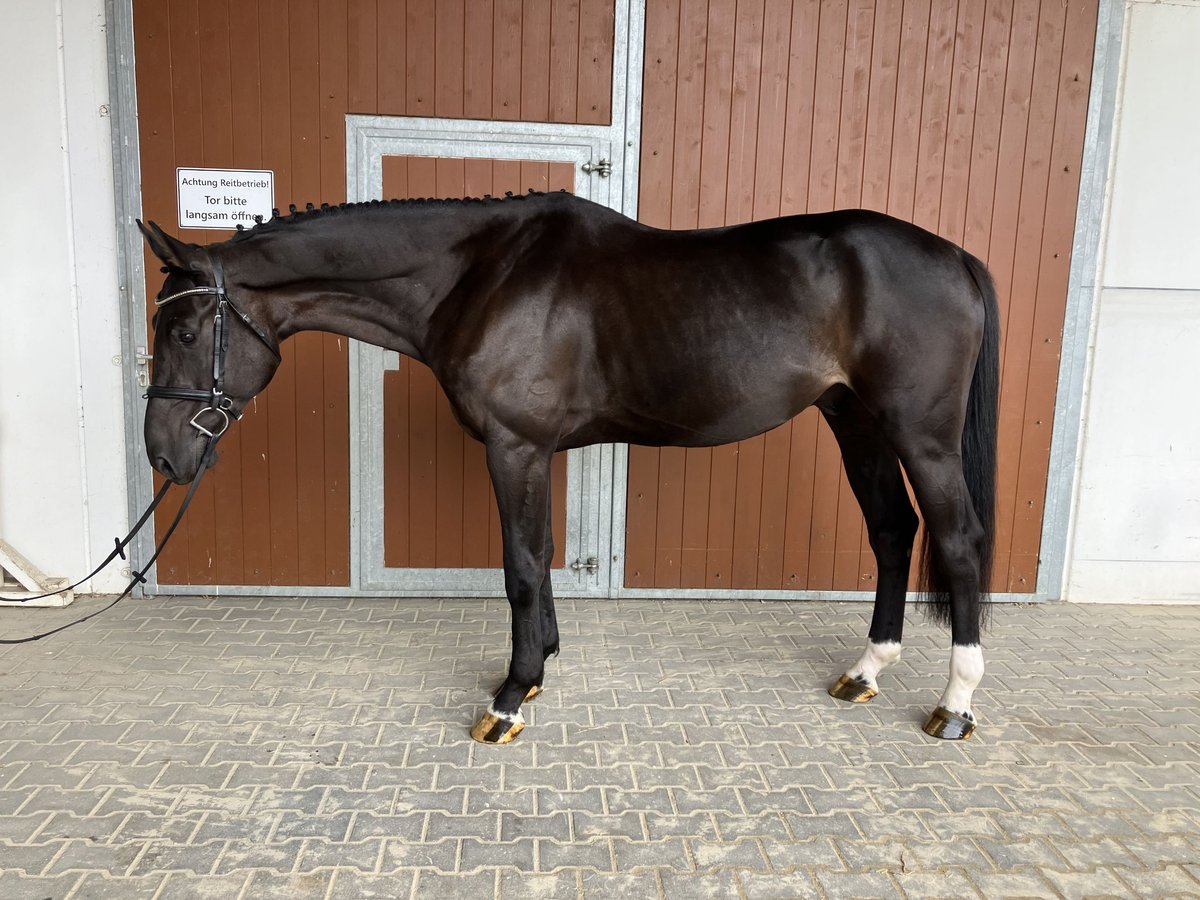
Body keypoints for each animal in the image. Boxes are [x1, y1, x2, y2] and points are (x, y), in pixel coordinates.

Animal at [138, 190, 1003, 748]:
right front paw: (540, 668)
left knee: (957, 541)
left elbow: (522, 565)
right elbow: (542, 557)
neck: (480, 274)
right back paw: (866, 671)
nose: (162, 455)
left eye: (182, 330)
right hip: (855, 421)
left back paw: (955, 703)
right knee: (892, 532)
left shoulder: (515, 445)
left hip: (920, 434)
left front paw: (510, 699)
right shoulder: (532, 451)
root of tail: (956, 257)